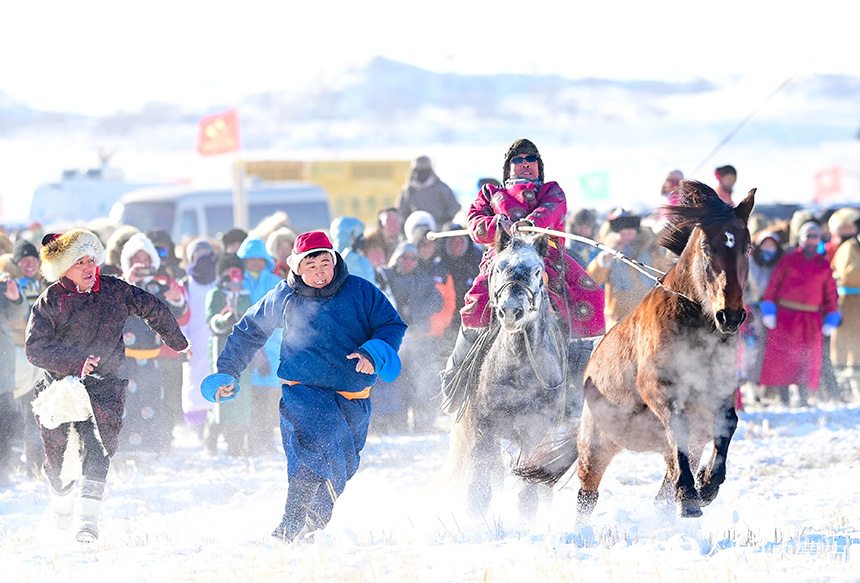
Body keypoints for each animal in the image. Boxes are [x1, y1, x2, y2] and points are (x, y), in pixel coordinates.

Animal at [516, 181, 752, 520]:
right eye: (708, 249)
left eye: (747, 248)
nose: (730, 316)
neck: (694, 322)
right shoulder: (657, 388)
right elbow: (678, 421)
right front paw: (692, 494)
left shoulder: (719, 389)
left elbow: (728, 422)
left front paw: (708, 484)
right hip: (595, 444)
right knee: (588, 494)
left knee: (666, 483)